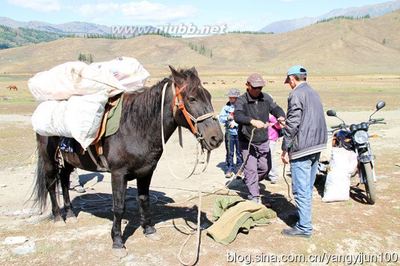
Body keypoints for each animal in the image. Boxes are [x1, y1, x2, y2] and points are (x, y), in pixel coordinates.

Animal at [32, 65, 223, 250]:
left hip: (69, 161)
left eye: (208, 96)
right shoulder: (118, 174)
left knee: (64, 181)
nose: (216, 138)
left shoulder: (146, 171)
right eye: (192, 98)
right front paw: (117, 240)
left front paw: (149, 229)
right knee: (51, 185)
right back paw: (58, 218)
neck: (136, 126)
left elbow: (144, 200)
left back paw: (71, 214)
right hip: (49, 160)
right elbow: (118, 207)